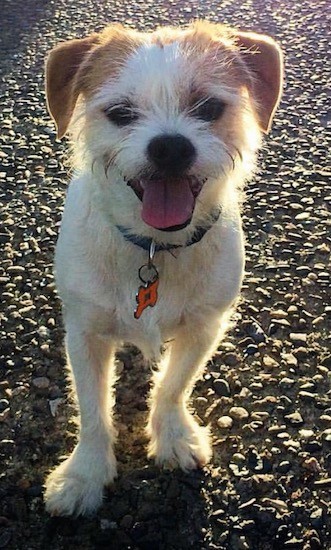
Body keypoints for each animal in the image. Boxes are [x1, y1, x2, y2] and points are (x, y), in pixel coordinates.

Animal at [42, 20, 284, 516]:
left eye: (208, 107)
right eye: (121, 112)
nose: (170, 146)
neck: (155, 247)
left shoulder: (204, 326)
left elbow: (173, 385)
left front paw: (173, 437)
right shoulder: (85, 333)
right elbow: (92, 408)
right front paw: (83, 475)